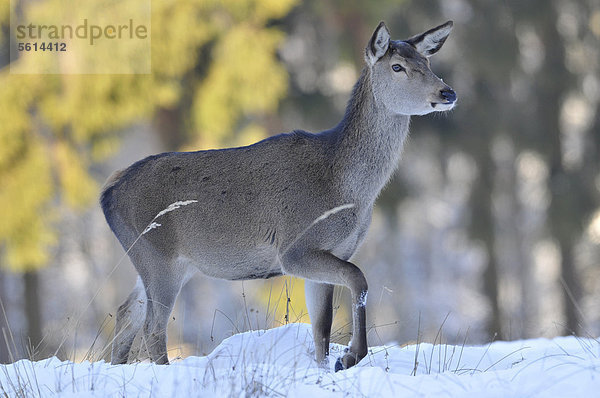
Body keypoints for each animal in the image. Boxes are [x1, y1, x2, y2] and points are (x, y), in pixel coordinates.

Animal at [102, 21, 454, 370]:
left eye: (427, 63)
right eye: (397, 66)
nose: (447, 92)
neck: (349, 190)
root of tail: (108, 192)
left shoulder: (334, 251)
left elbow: (321, 329)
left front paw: (326, 368)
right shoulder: (295, 248)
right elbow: (358, 279)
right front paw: (351, 356)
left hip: (156, 259)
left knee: (126, 314)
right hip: (158, 254)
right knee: (152, 326)